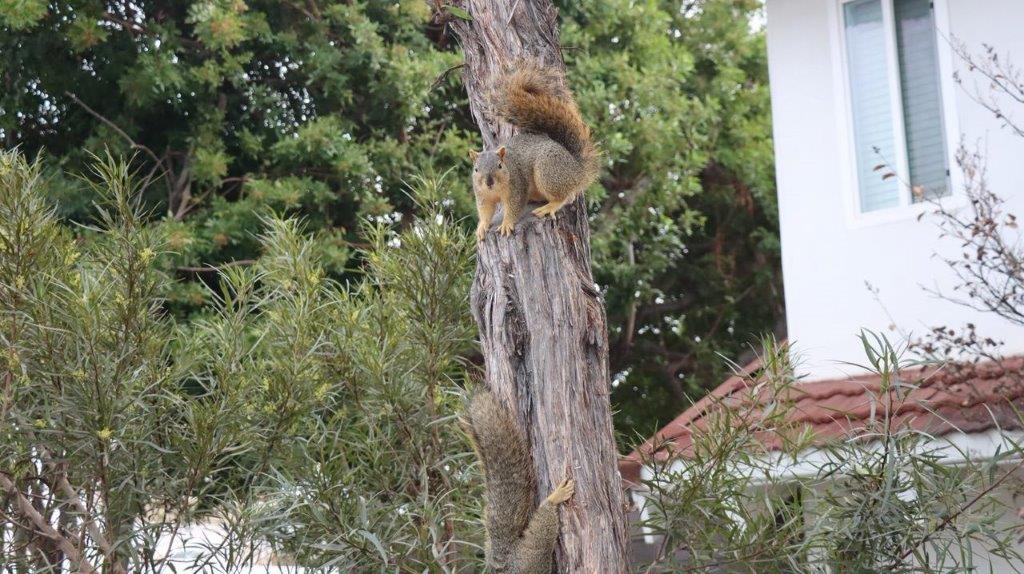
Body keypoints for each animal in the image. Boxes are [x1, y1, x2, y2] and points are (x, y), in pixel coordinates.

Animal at [468, 63, 598, 241]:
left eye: (500, 166)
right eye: (476, 169)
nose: (489, 182)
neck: (495, 190)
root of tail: (578, 170)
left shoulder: (517, 188)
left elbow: (514, 208)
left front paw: (506, 224)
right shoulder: (482, 195)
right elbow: (485, 212)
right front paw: (481, 227)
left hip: (548, 172)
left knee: (565, 197)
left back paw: (550, 206)